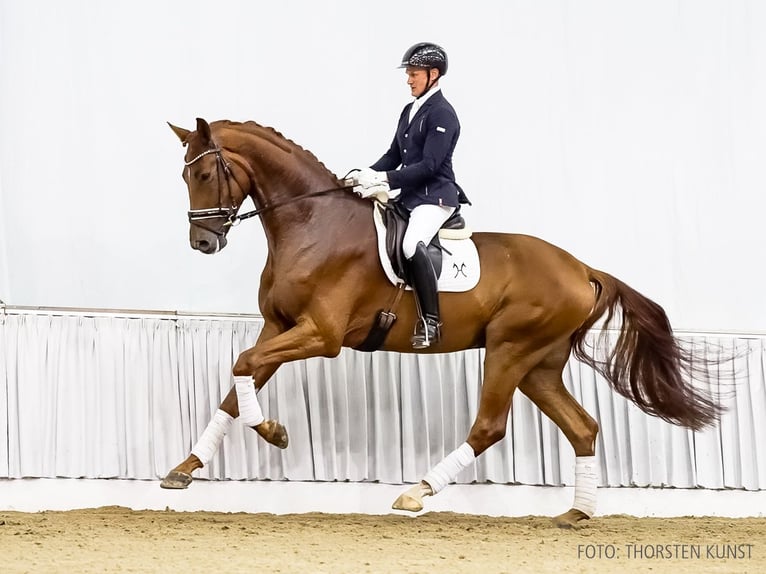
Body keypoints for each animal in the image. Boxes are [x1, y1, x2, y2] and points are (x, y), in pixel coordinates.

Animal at [159, 118, 724, 532]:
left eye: (204, 175)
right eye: (184, 177)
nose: (202, 243)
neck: (312, 226)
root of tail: (581, 268)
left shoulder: (320, 336)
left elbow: (242, 366)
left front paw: (273, 432)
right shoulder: (277, 328)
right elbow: (237, 385)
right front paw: (184, 469)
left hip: (509, 350)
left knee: (490, 426)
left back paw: (417, 492)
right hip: (539, 366)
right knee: (582, 427)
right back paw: (577, 513)